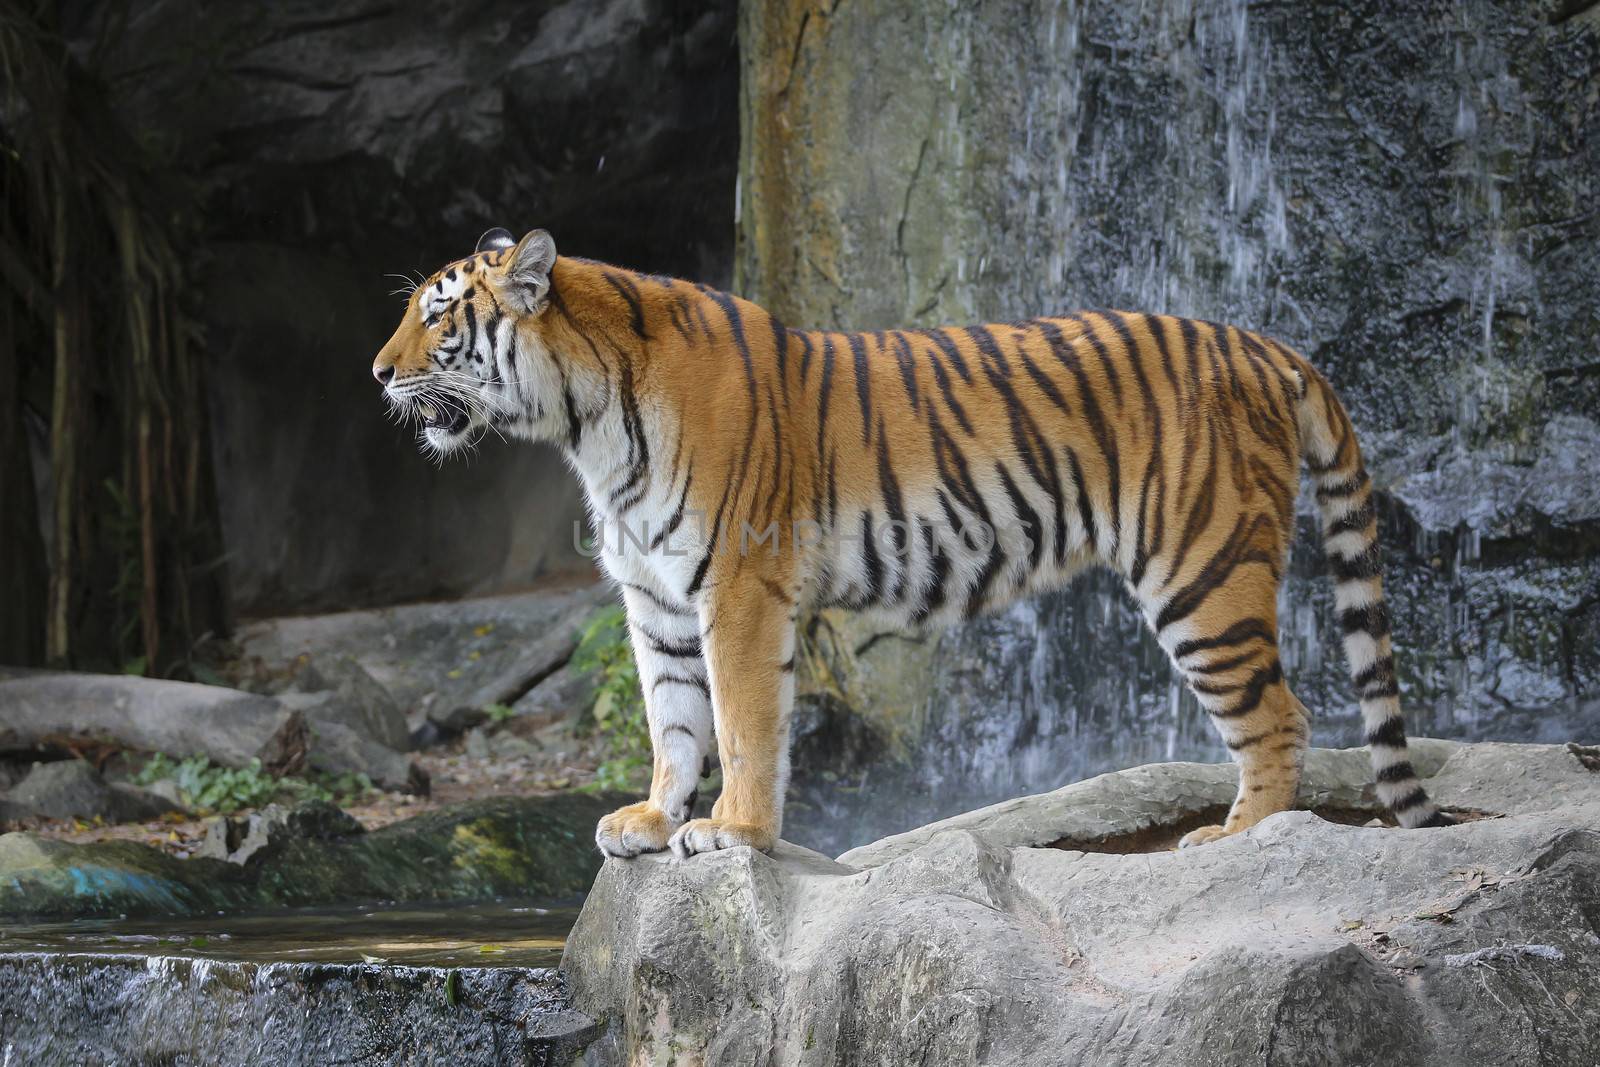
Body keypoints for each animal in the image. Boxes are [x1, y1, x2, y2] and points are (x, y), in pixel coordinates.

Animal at [371, 225, 1452, 857]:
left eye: (438, 314)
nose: (377, 371)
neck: (584, 421)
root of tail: (1266, 344)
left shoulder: (739, 586)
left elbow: (744, 722)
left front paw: (732, 831)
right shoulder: (656, 598)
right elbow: (674, 719)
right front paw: (652, 818)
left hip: (1204, 570)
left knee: (1281, 715)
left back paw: (1235, 840)